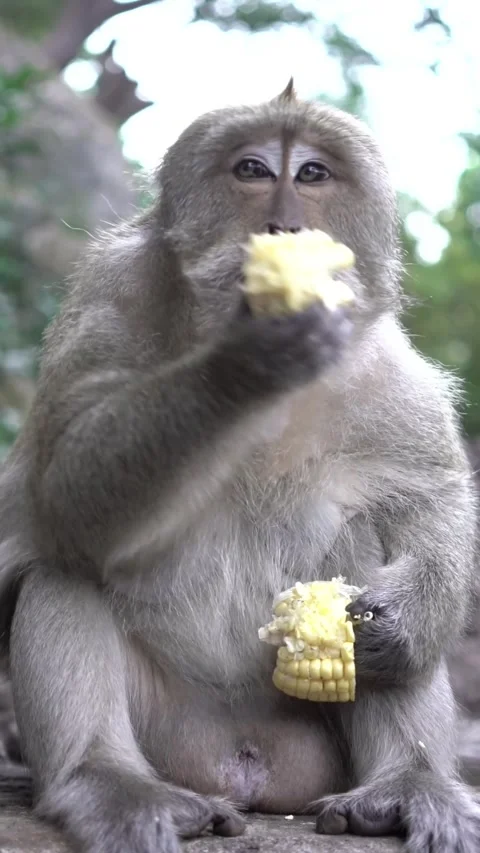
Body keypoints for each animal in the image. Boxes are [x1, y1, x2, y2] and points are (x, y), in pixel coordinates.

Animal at [0, 80, 479, 853]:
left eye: (312, 174)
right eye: (252, 170)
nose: (284, 224)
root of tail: (248, 767)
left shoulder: (377, 354)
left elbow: (428, 488)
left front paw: (405, 621)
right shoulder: (111, 295)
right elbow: (64, 487)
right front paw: (247, 359)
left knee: (364, 545)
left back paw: (407, 784)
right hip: (170, 727)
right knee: (65, 563)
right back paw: (109, 783)